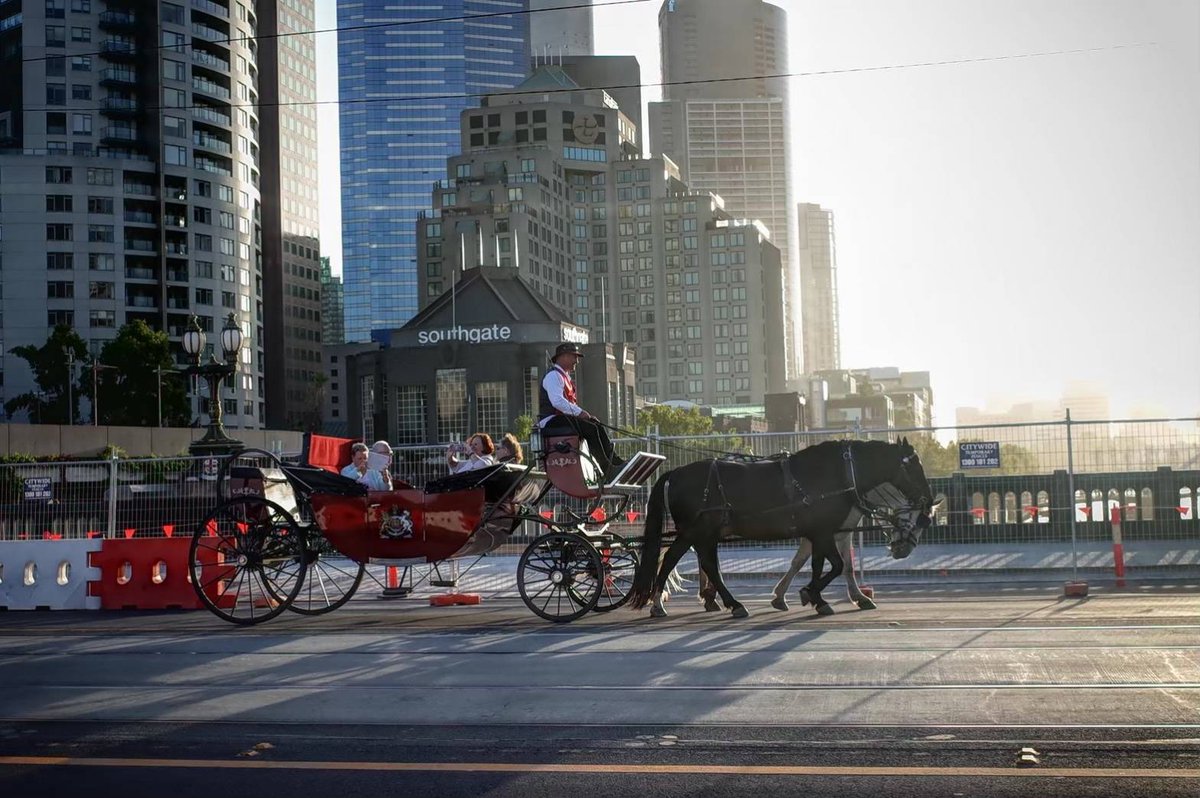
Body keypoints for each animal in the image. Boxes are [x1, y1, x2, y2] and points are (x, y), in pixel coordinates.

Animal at [628, 439, 936, 619]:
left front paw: (815, 597)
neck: (838, 476)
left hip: (702, 534)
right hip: (696, 531)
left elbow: (820, 565)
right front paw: (809, 593)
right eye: (913, 467)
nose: (928, 500)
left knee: (698, 563)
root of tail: (675, 472)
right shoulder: (823, 532)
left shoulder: (821, 532)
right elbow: (835, 565)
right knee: (679, 560)